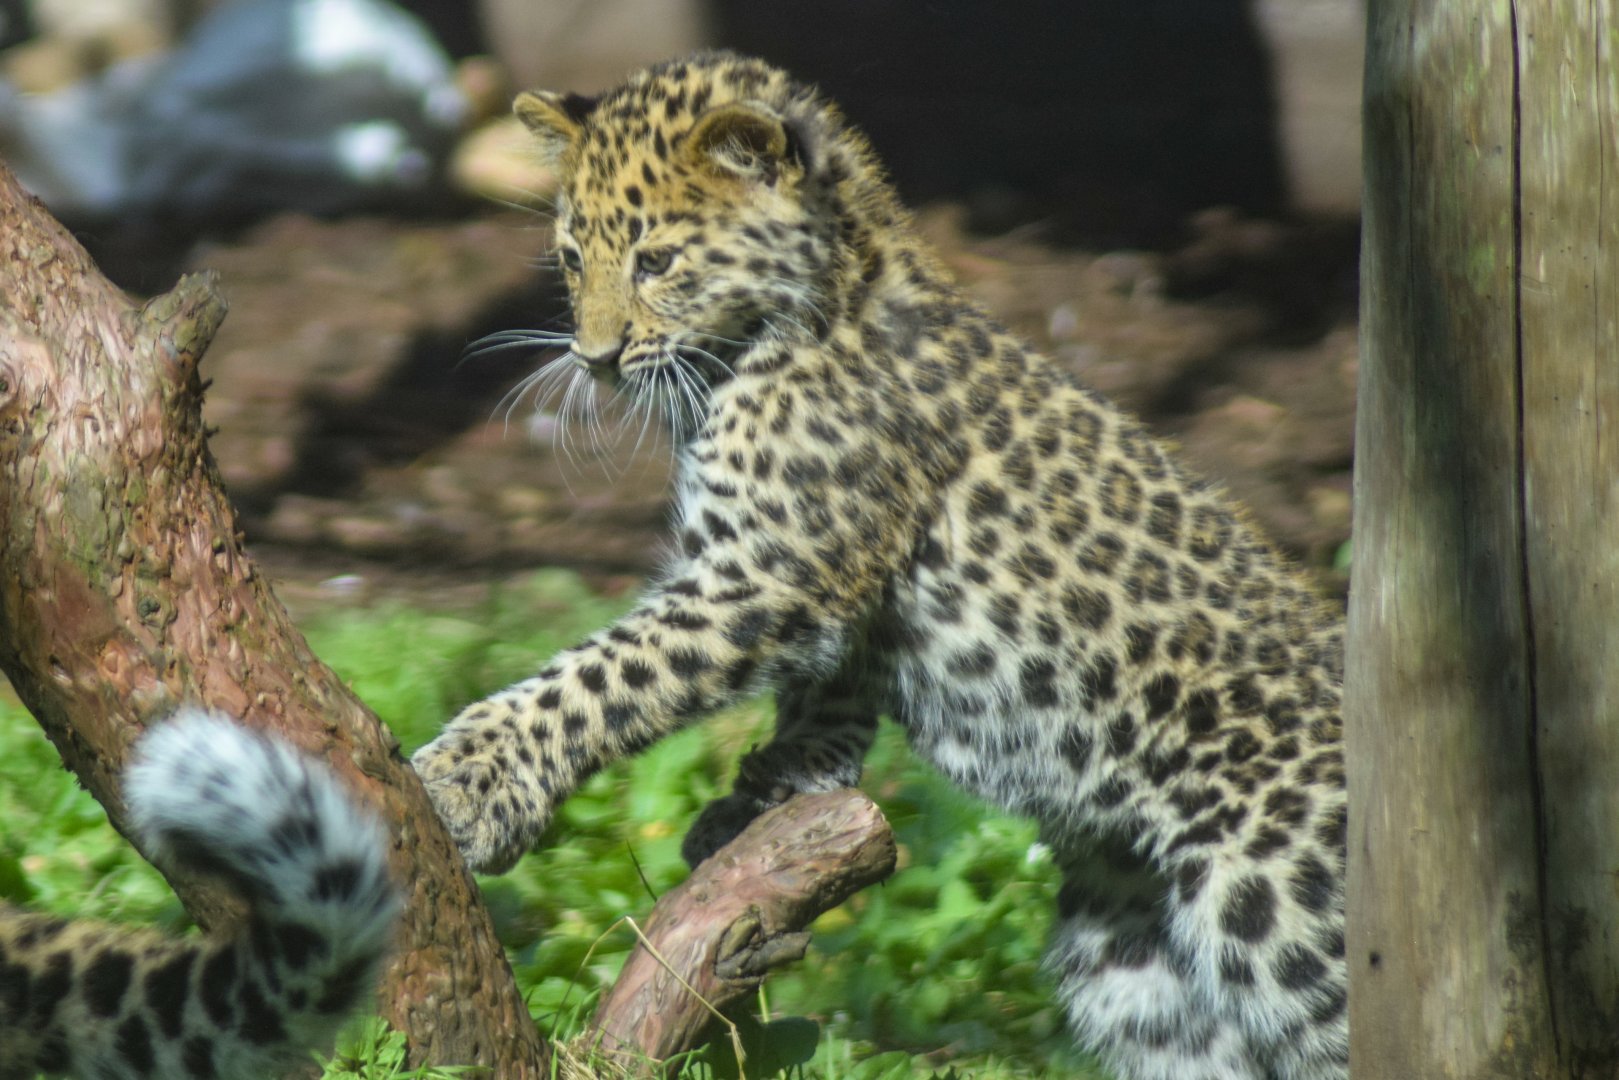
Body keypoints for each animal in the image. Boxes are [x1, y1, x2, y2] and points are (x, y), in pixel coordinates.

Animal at [410, 51, 1347, 1080]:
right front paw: (762, 802)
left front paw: (465, 781)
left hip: (1281, 905)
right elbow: (821, 701)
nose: (595, 358)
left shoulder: (768, 574)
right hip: (1134, 959)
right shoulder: (823, 591)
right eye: (574, 258)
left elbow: (599, 677)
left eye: (656, 260)